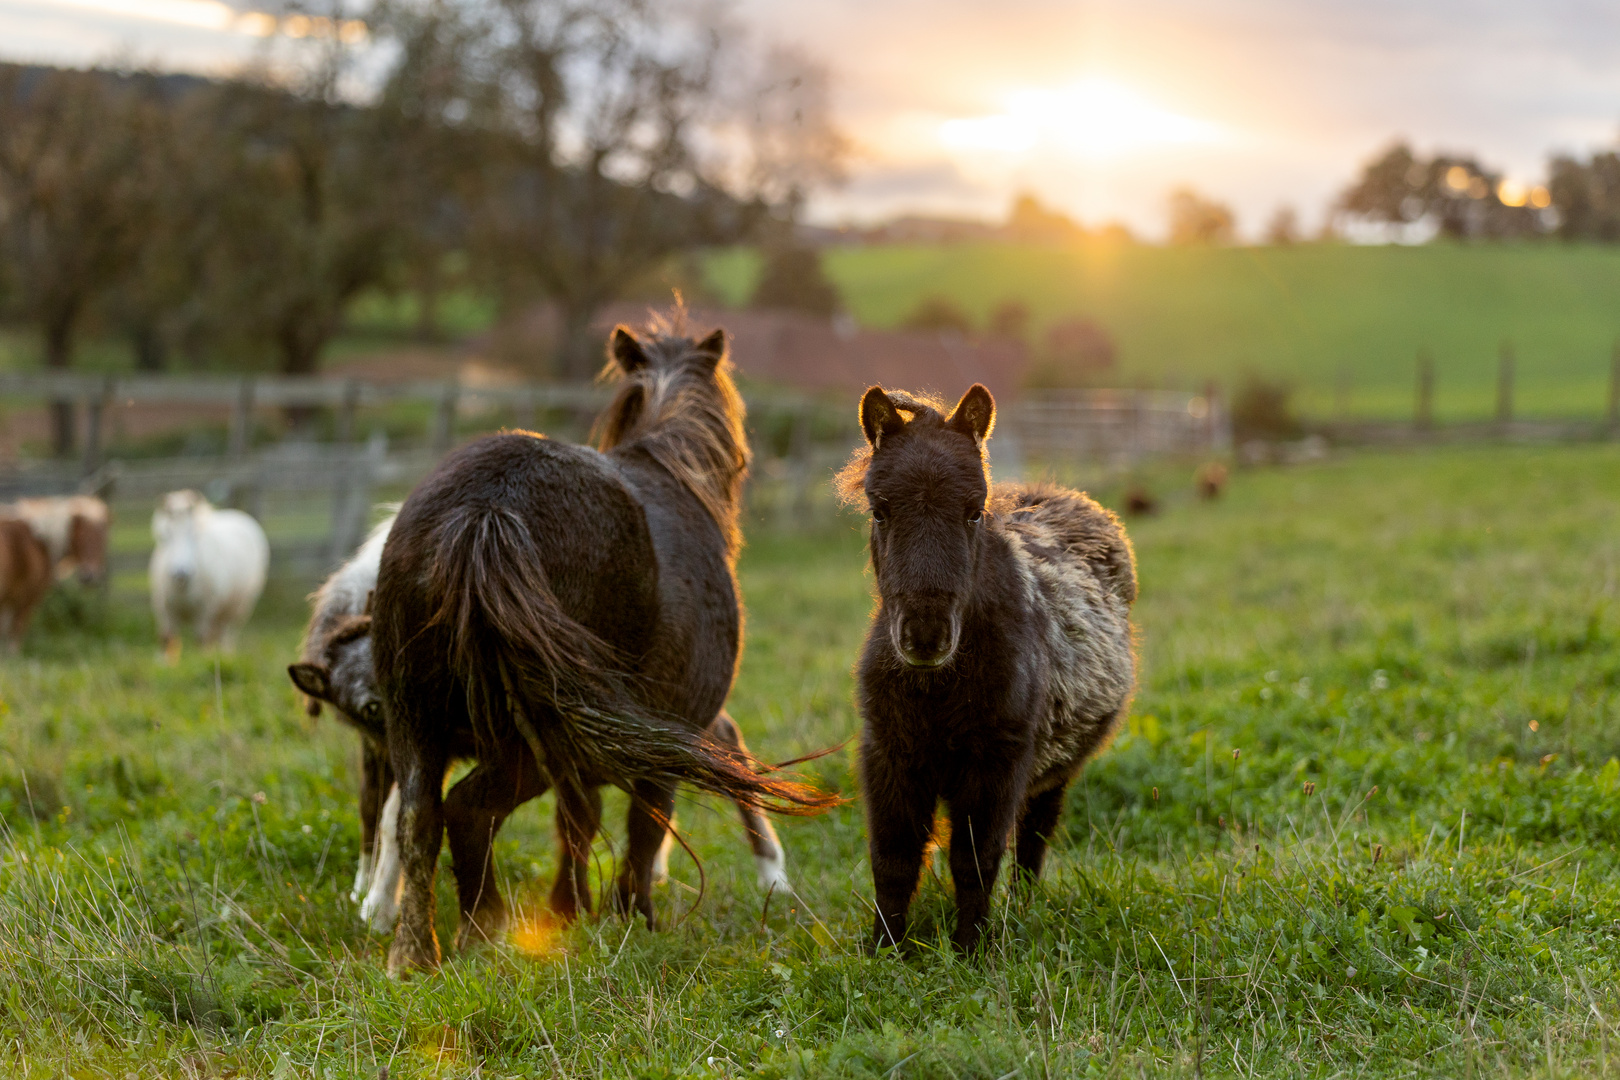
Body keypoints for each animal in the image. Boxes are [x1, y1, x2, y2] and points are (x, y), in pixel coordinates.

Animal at [152, 488, 268, 660]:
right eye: (165, 536)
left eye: (194, 534)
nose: (181, 571)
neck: (183, 588)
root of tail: (236, 513)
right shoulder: (164, 610)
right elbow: (168, 640)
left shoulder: (205, 612)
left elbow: (201, 641)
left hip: (238, 608)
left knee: (226, 635)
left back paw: (226, 656)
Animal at [842, 382, 1134, 952]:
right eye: (880, 510)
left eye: (974, 510)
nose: (925, 636)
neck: (937, 689)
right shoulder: (890, 758)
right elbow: (893, 860)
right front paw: (884, 952)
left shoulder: (996, 765)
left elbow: (975, 861)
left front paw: (970, 952)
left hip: (1053, 771)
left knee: (1034, 837)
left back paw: (1025, 909)